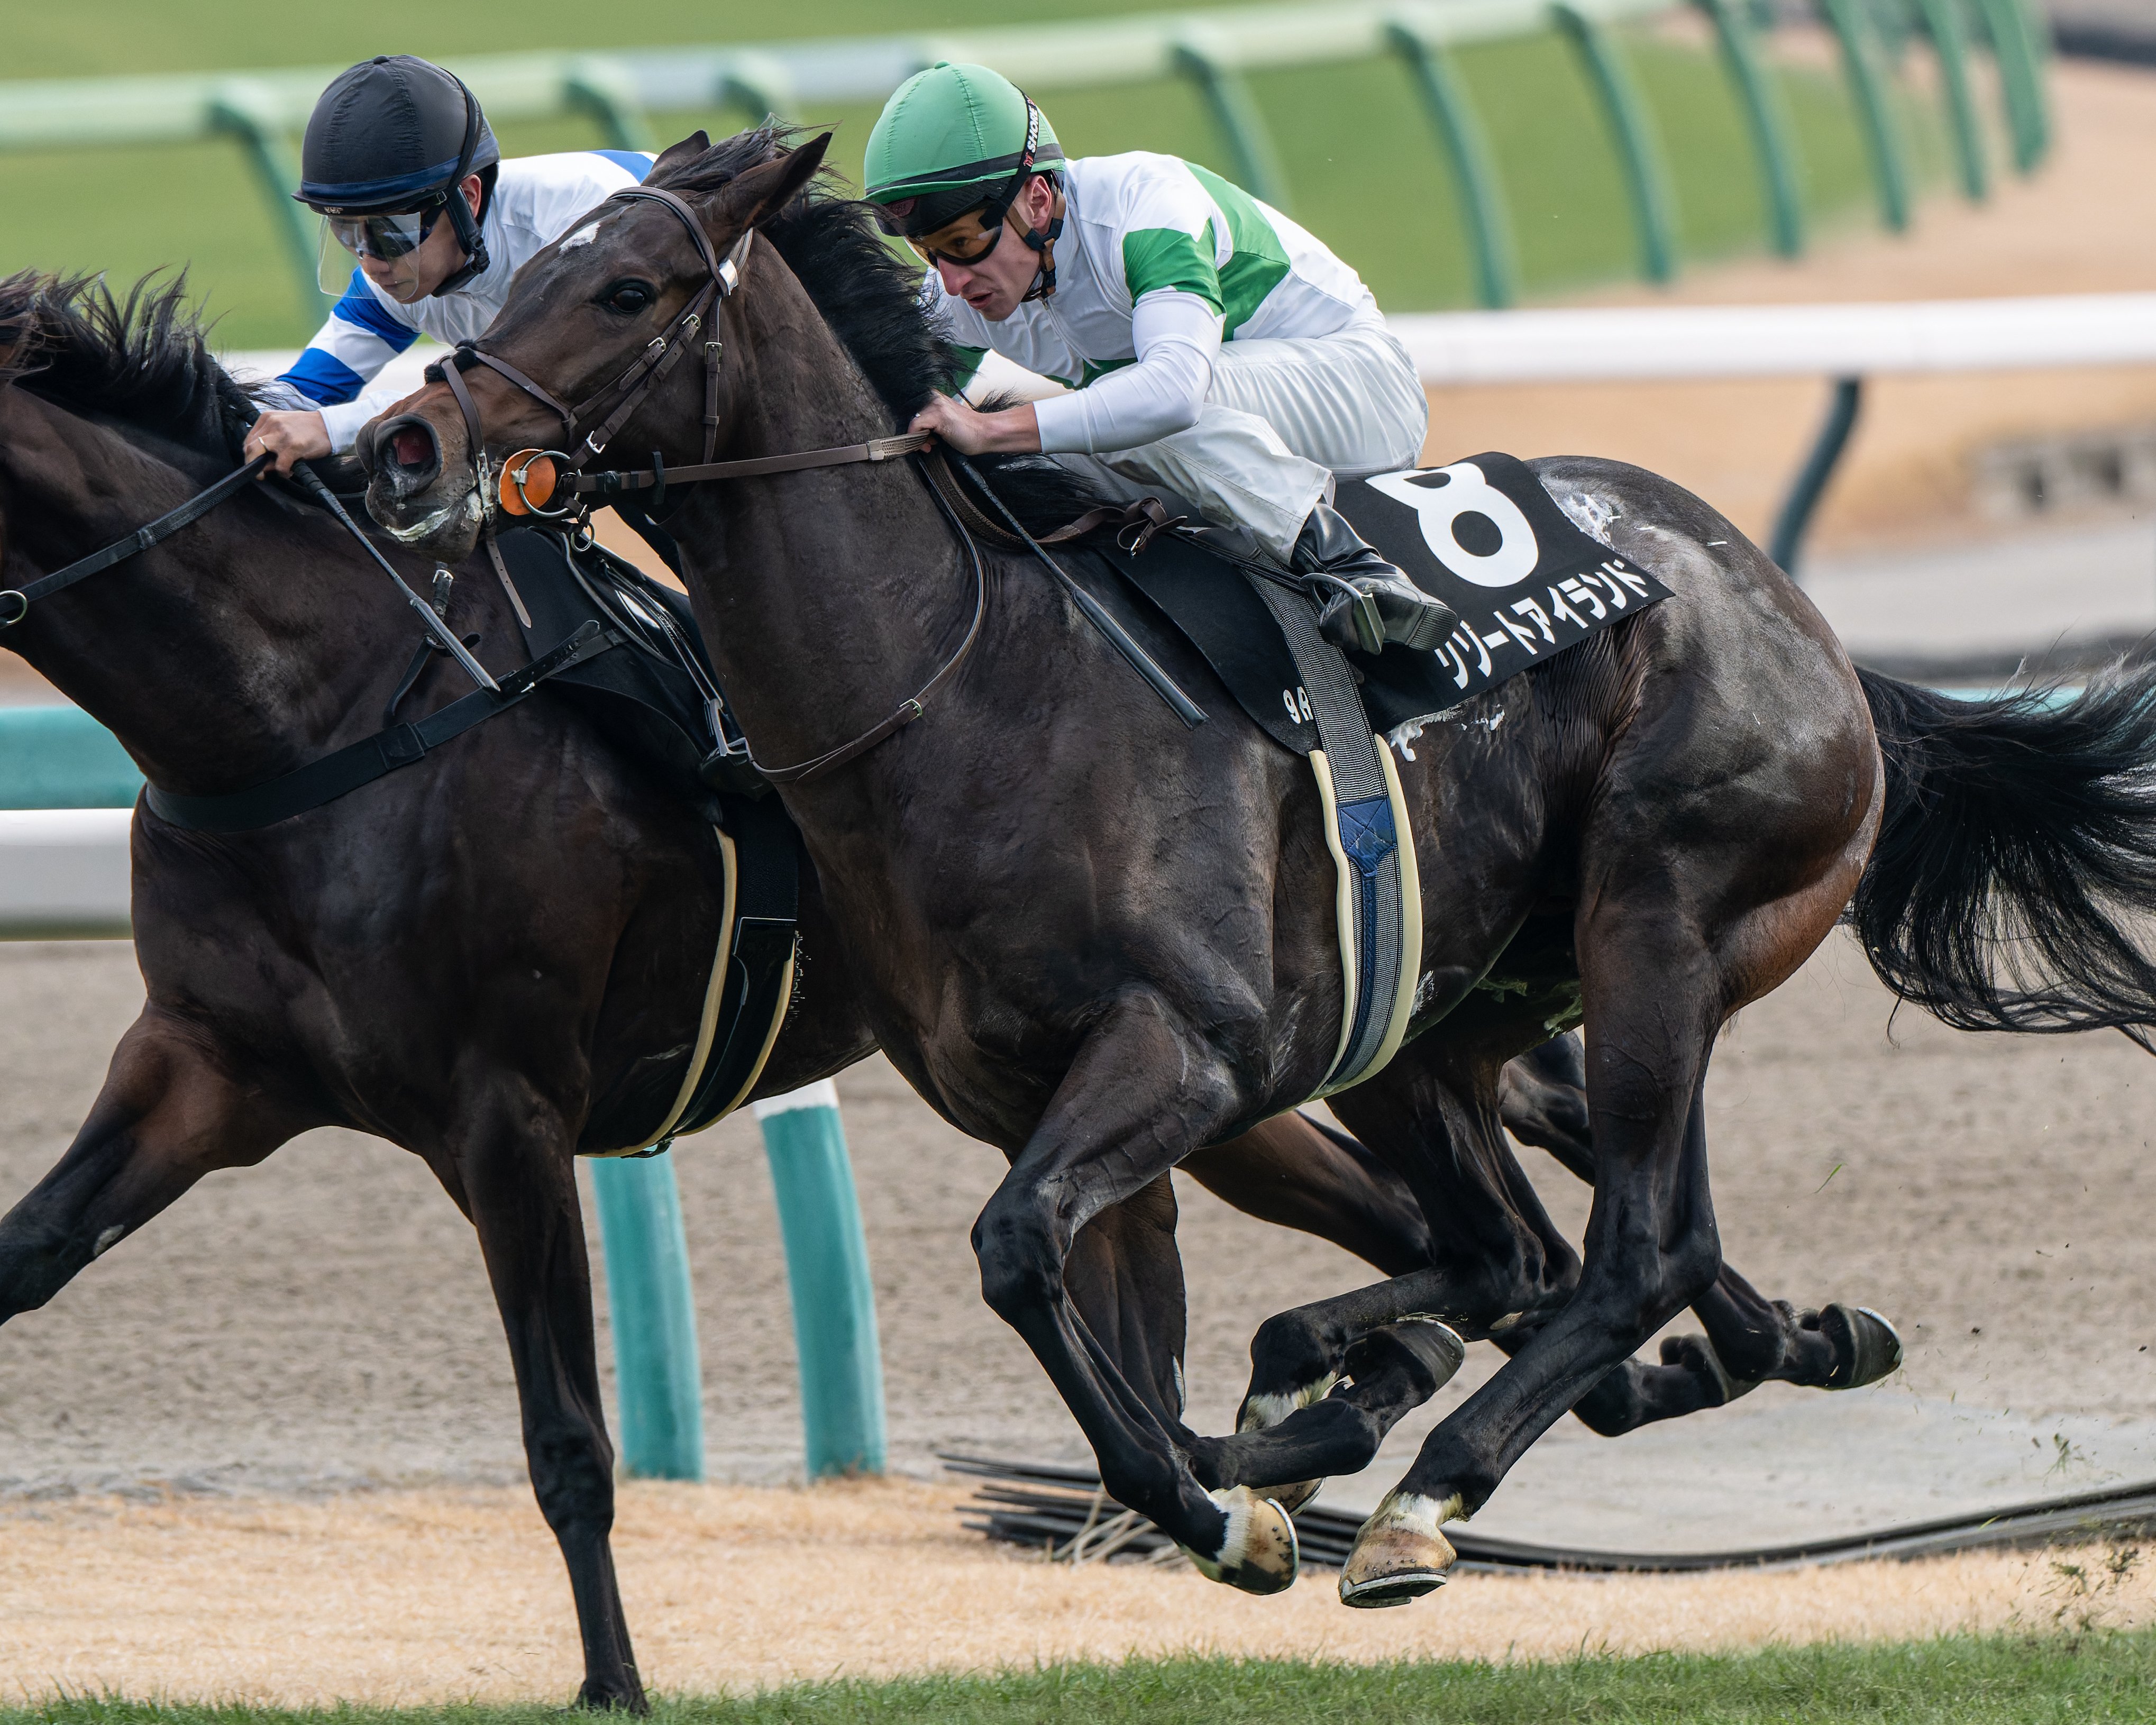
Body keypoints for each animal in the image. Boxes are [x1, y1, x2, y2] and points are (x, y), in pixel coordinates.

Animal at [363, 126, 2053, 1604]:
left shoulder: (1185, 1049)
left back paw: (1428, 1493)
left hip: (1660, 920)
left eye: (625, 289)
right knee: (1534, 1240)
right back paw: (1726, 1346)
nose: (407, 440)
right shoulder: (1036, 1100)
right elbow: (1108, 1331)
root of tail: (1794, 611)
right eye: (512, 279)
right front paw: (1251, 1468)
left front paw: (1241, 1494)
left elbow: (1017, 1257)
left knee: (1625, 1245)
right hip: (1435, 1020)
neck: (966, 688)